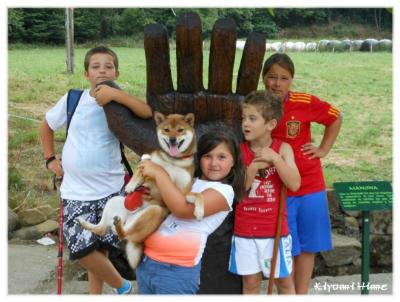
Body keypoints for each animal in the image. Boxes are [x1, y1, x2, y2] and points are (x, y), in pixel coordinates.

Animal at [77, 112, 205, 270]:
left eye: (180, 130)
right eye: (167, 130)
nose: (173, 139)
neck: (172, 160)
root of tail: (127, 218)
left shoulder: (182, 192)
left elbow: (199, 195)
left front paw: (199, 211)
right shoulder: (147, 165)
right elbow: (139, 170)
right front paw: (131, 185)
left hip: (154, 211)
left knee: (120, 234)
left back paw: (116, 225)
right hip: (115, 201)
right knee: (104, 229)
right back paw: (85, 222)